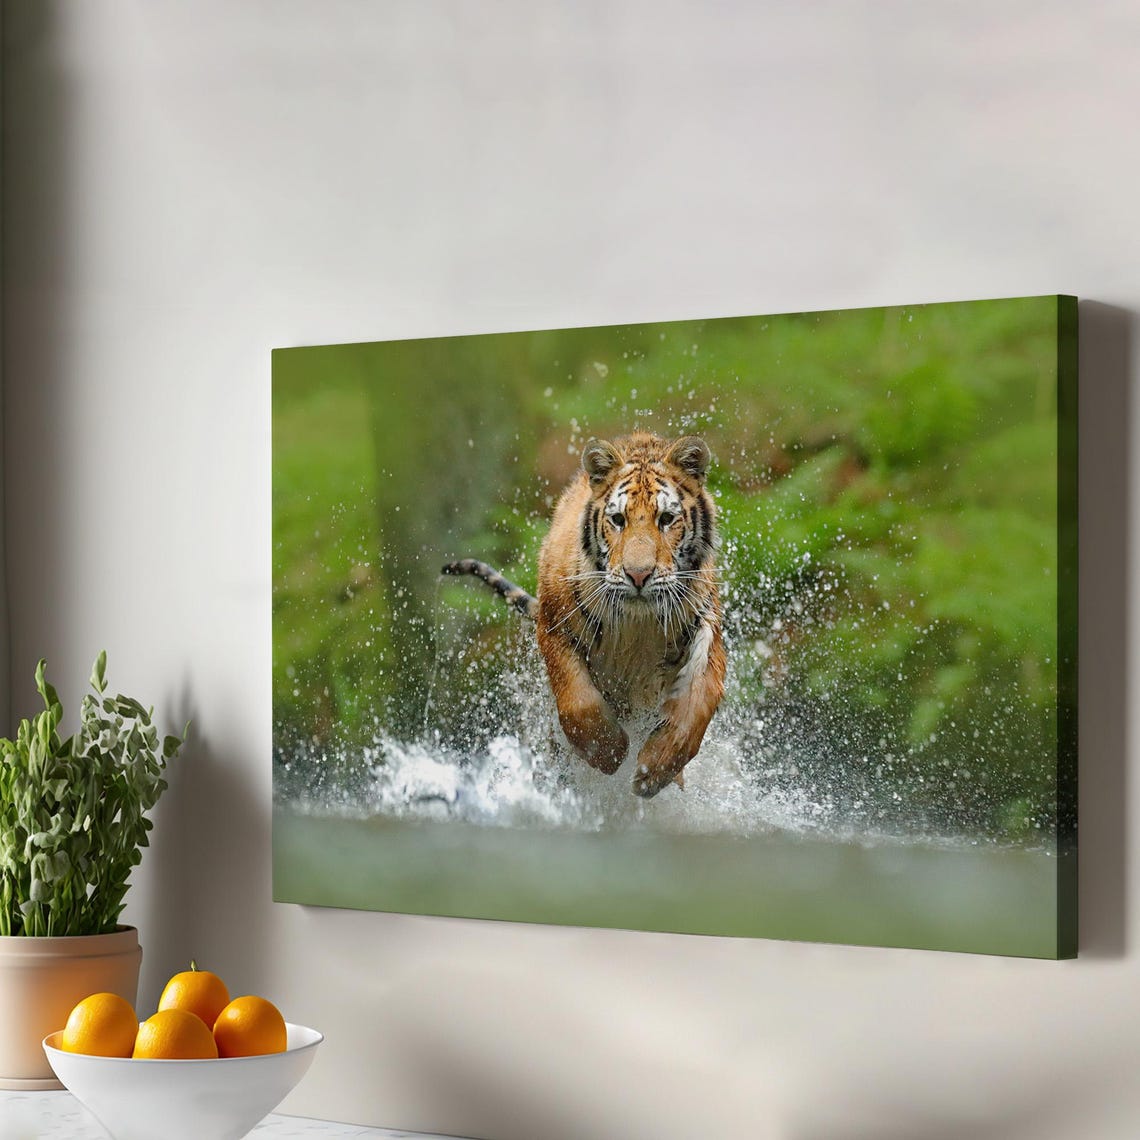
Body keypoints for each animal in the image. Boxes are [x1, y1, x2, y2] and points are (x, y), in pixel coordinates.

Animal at [442, 432, 726, 798]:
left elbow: (697, 705)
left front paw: (654, 770)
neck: (638, 623)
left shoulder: (706, 629)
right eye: (618, 520)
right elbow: (578, 701)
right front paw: (609, 753)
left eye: (666, 519)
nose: (638, 575)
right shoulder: (554, 626)